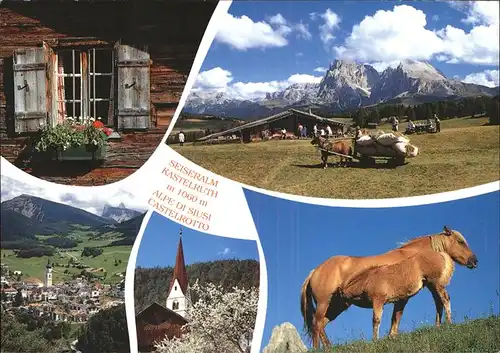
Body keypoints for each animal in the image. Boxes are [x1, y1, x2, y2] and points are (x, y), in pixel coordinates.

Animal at [300, 227, 476, 348]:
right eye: (461, 242)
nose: (474, 261)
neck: (413, 256)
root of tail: (315, 271)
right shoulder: (400, 297)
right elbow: (395, 317)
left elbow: (396, 317)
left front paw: (392, 337)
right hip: (324, 303)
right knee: (316, 324)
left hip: (338, 305)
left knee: (321, 325)